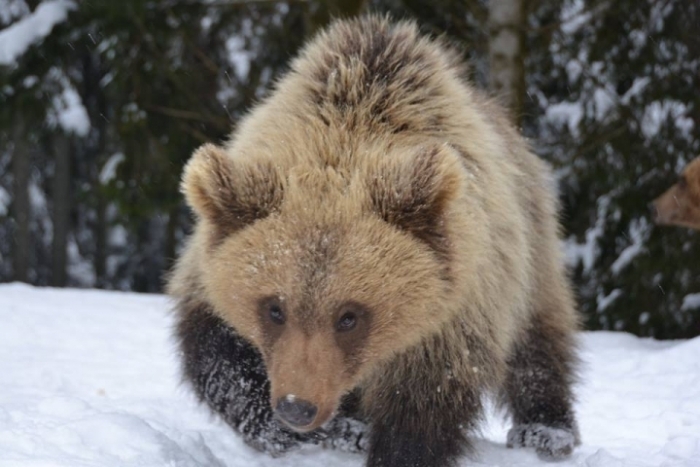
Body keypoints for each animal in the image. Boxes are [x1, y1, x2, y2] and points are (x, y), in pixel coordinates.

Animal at [168, 15, 580, 467]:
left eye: (349, 316)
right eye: (274, 308)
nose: (298, 407)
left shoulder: (456, 311)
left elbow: (423, 405)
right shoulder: (209, 265)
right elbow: (215, 346)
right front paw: (292, 429)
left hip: (531, 242)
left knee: (538, 341)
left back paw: (545, 429)